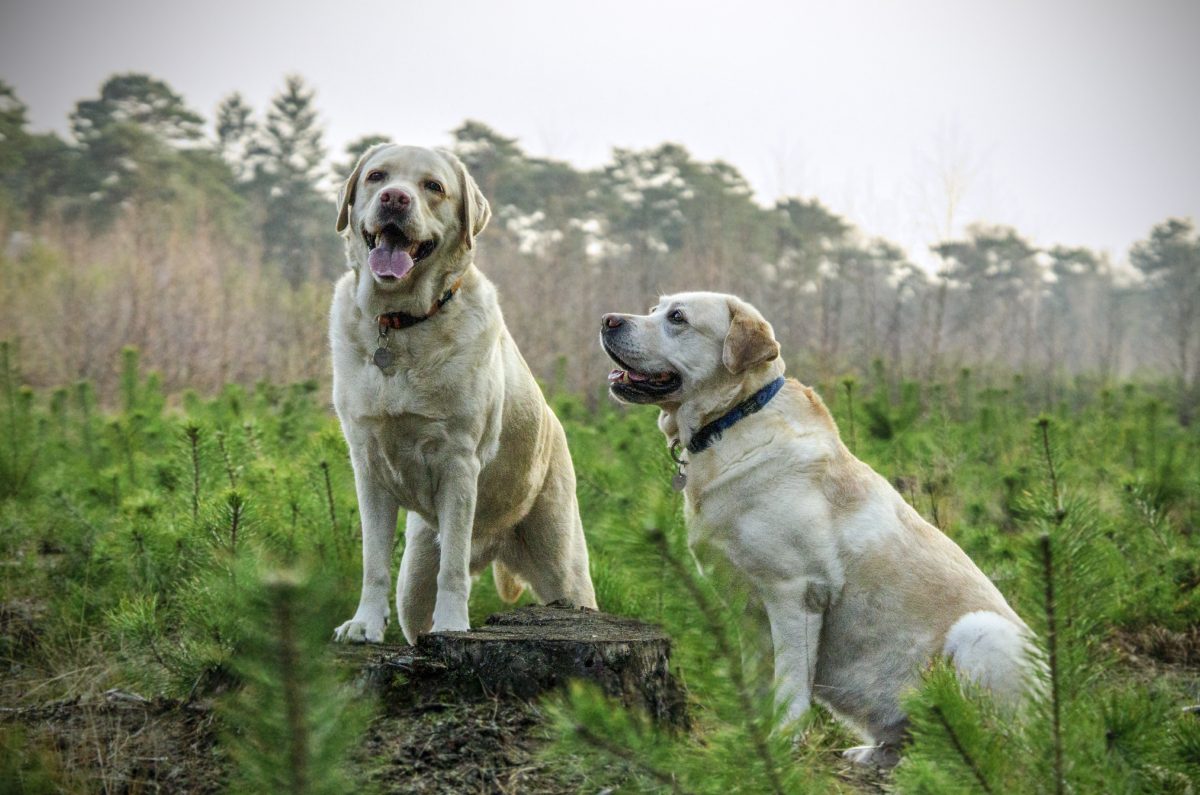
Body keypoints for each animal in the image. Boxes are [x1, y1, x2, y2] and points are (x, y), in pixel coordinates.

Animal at [328, 143, 595, 643]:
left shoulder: (458, 462)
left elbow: (451, 567)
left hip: (564, 567)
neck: (402, 324)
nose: (395, 198)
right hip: (414, 576)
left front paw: (453, 626)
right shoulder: (368, 466)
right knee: (415, 606)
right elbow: (373, 562)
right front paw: (364, 624)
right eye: (377, 176)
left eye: (433, 186)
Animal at [604, 293, 1036, 768]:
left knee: (1003, 748)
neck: (733, 420)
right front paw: (754, 739)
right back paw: (877, 755)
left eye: (677, 318)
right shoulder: (749, 610)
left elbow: (790, 683)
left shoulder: (796, 592)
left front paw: (783, 743)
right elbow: (760, 679)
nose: (608, 320)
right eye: (655, 308)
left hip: (980, 633)